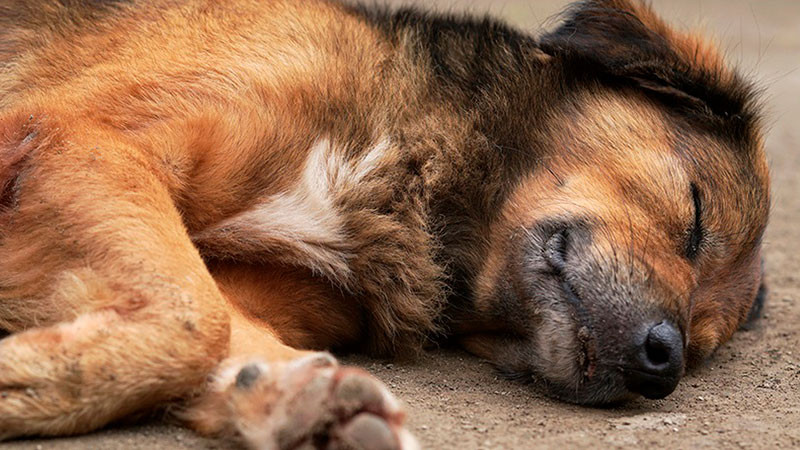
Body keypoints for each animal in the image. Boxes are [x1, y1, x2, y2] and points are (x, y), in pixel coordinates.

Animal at [0, 0, 768, 448]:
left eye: (701, 347)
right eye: (695, 213)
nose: (662, 361)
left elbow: (219, 323)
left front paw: (303, 400)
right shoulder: (78, 137)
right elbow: (196, 320)